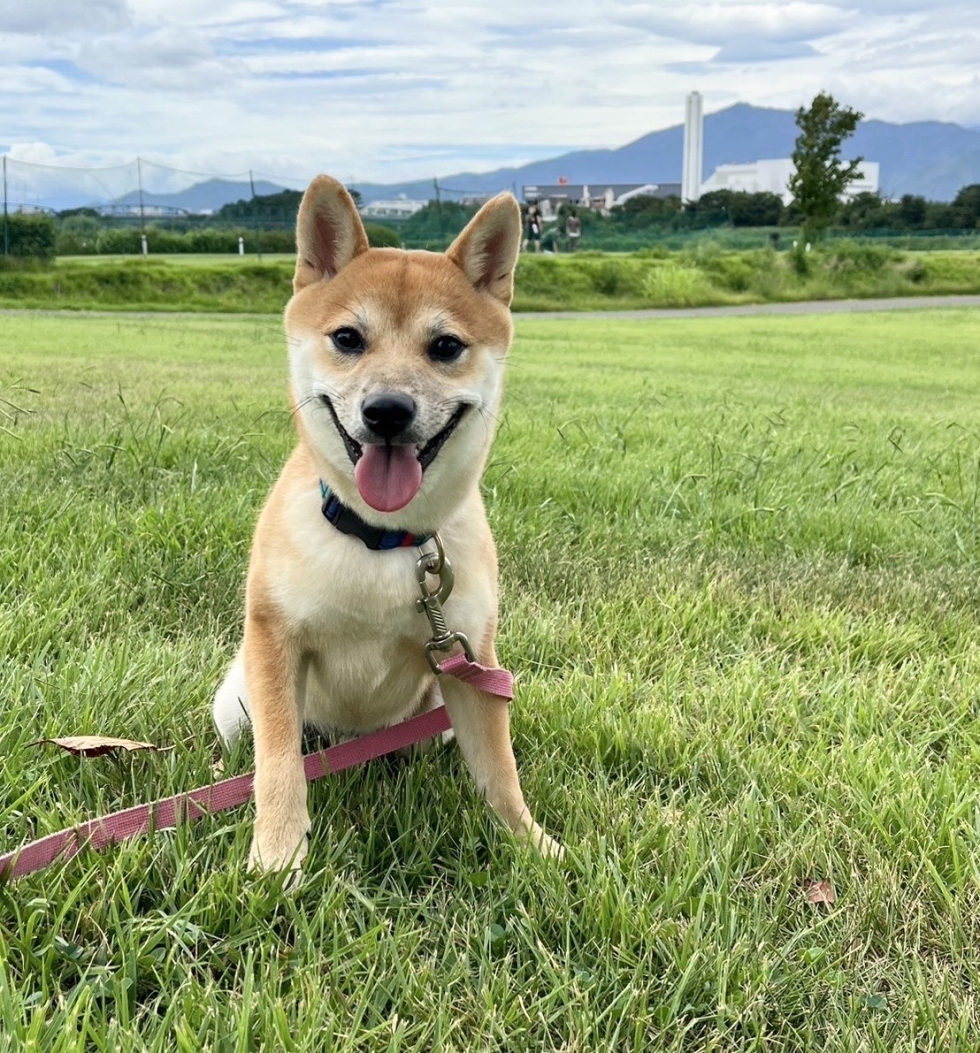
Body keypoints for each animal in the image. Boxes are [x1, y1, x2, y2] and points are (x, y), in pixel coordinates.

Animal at [215, 176, 564, 876]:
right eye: (348, 338)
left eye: (446, 347)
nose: (387, 410)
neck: (381, 536)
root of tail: (351, 741)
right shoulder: (275, 641)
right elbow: (276, 766)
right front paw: (277, 858)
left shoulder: (473, 659)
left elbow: (502, 772)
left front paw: (534, 847)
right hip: (234, 703)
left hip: (440, 712)